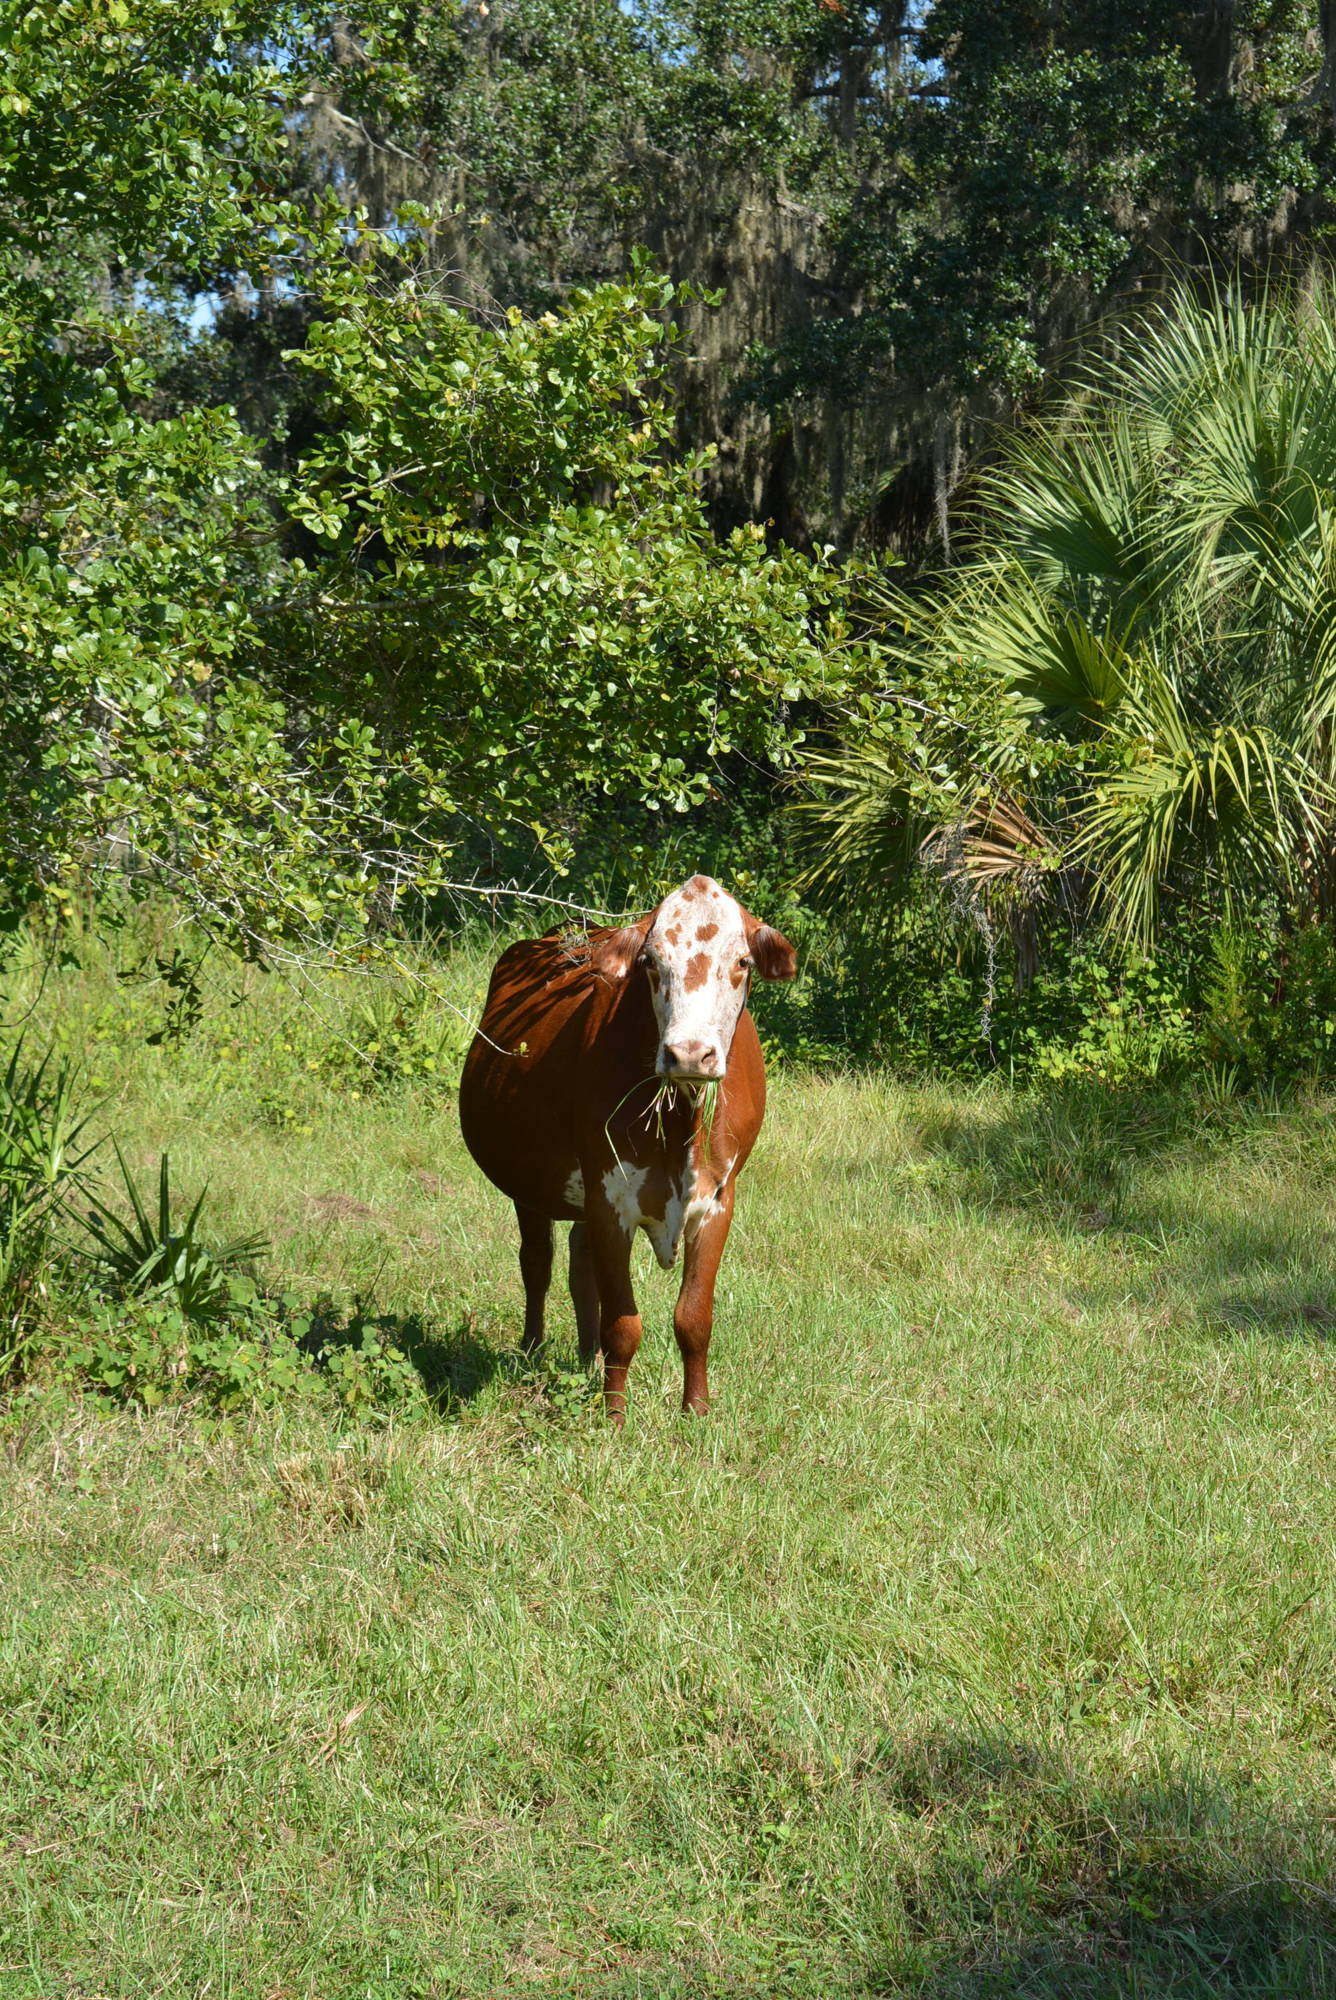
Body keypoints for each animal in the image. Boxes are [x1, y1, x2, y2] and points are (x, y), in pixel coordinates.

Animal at [460, 880, 792, 1424]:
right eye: (651, 962)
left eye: (742, 961)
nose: (689, 1054)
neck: (681, 1119)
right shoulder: (609, 1196)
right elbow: (623, 1324)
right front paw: (614, 1418)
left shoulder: (719, 1199)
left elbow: (694, 1318)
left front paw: (696, 1412)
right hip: (531, 1186)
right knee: (538, 1263)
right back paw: (533, 1349)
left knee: (579, 1263)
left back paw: (585, 1356)